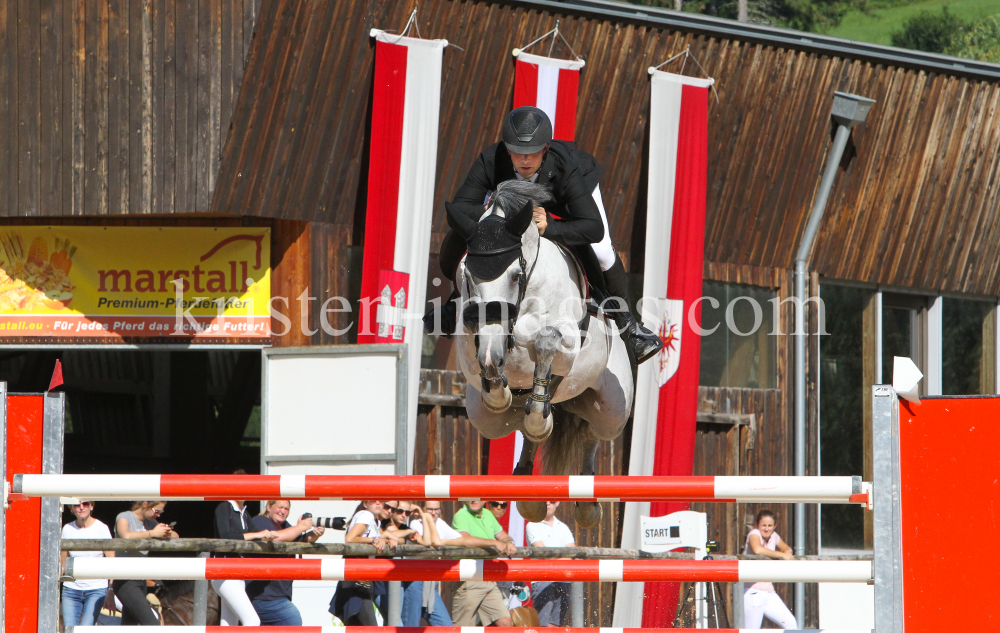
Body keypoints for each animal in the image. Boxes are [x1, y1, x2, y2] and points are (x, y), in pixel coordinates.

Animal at [446, 179, 632, 528]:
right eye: (466, 274)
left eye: (516, 275)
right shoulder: (471, 342)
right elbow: (487, 365)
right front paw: (500, 388)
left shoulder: (567, 339)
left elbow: (546, 341)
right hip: (484, 420)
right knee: (522, 422)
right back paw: (527, 484)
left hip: (612, 407)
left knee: (592, 430)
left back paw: (586, 501)